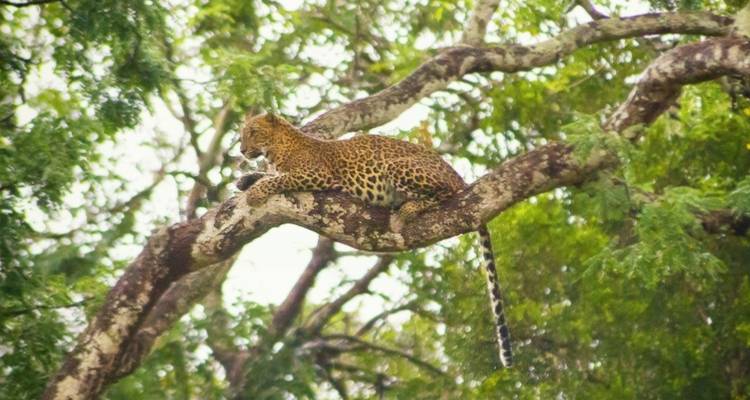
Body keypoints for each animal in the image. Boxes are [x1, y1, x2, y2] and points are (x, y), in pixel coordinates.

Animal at [239, 112, 513, 367]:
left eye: (253, 132)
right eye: (242, 134)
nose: (241, 150)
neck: (275, 148)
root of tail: (457, 174)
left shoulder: (316, 173)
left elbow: (279, 178)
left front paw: (255, 192)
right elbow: (266, 174)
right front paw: (246, 179)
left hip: (399, 167)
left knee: (445, 193)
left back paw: (407, 209)